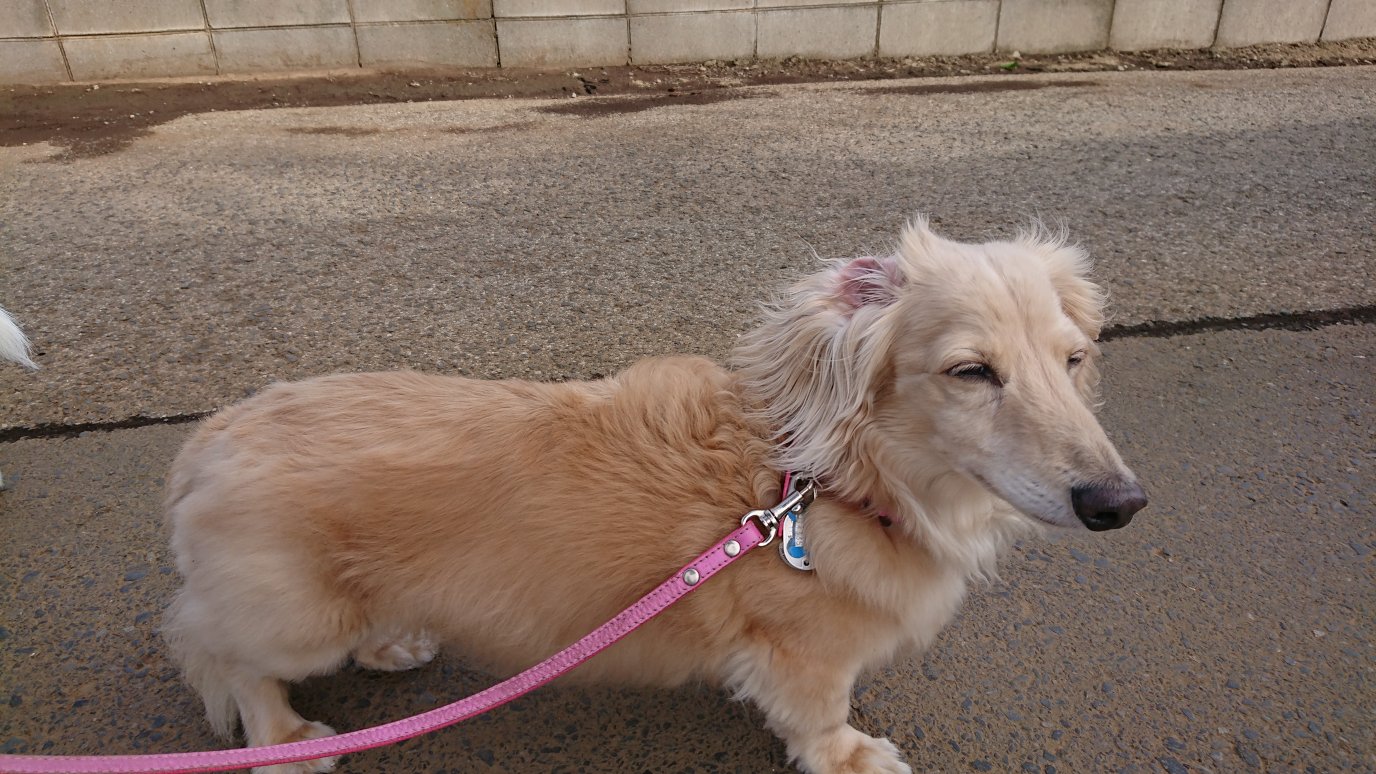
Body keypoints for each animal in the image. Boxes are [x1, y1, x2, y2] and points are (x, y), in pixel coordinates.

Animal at [163, 218, 1146, 774]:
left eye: (1074, 358)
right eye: (971, 372)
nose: (1120, 504)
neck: (828, 486)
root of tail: (211, 437)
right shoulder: (806, 658)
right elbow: (821, 716)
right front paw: (848, 756)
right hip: (298, 622)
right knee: (227, 657)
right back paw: (289, 742)